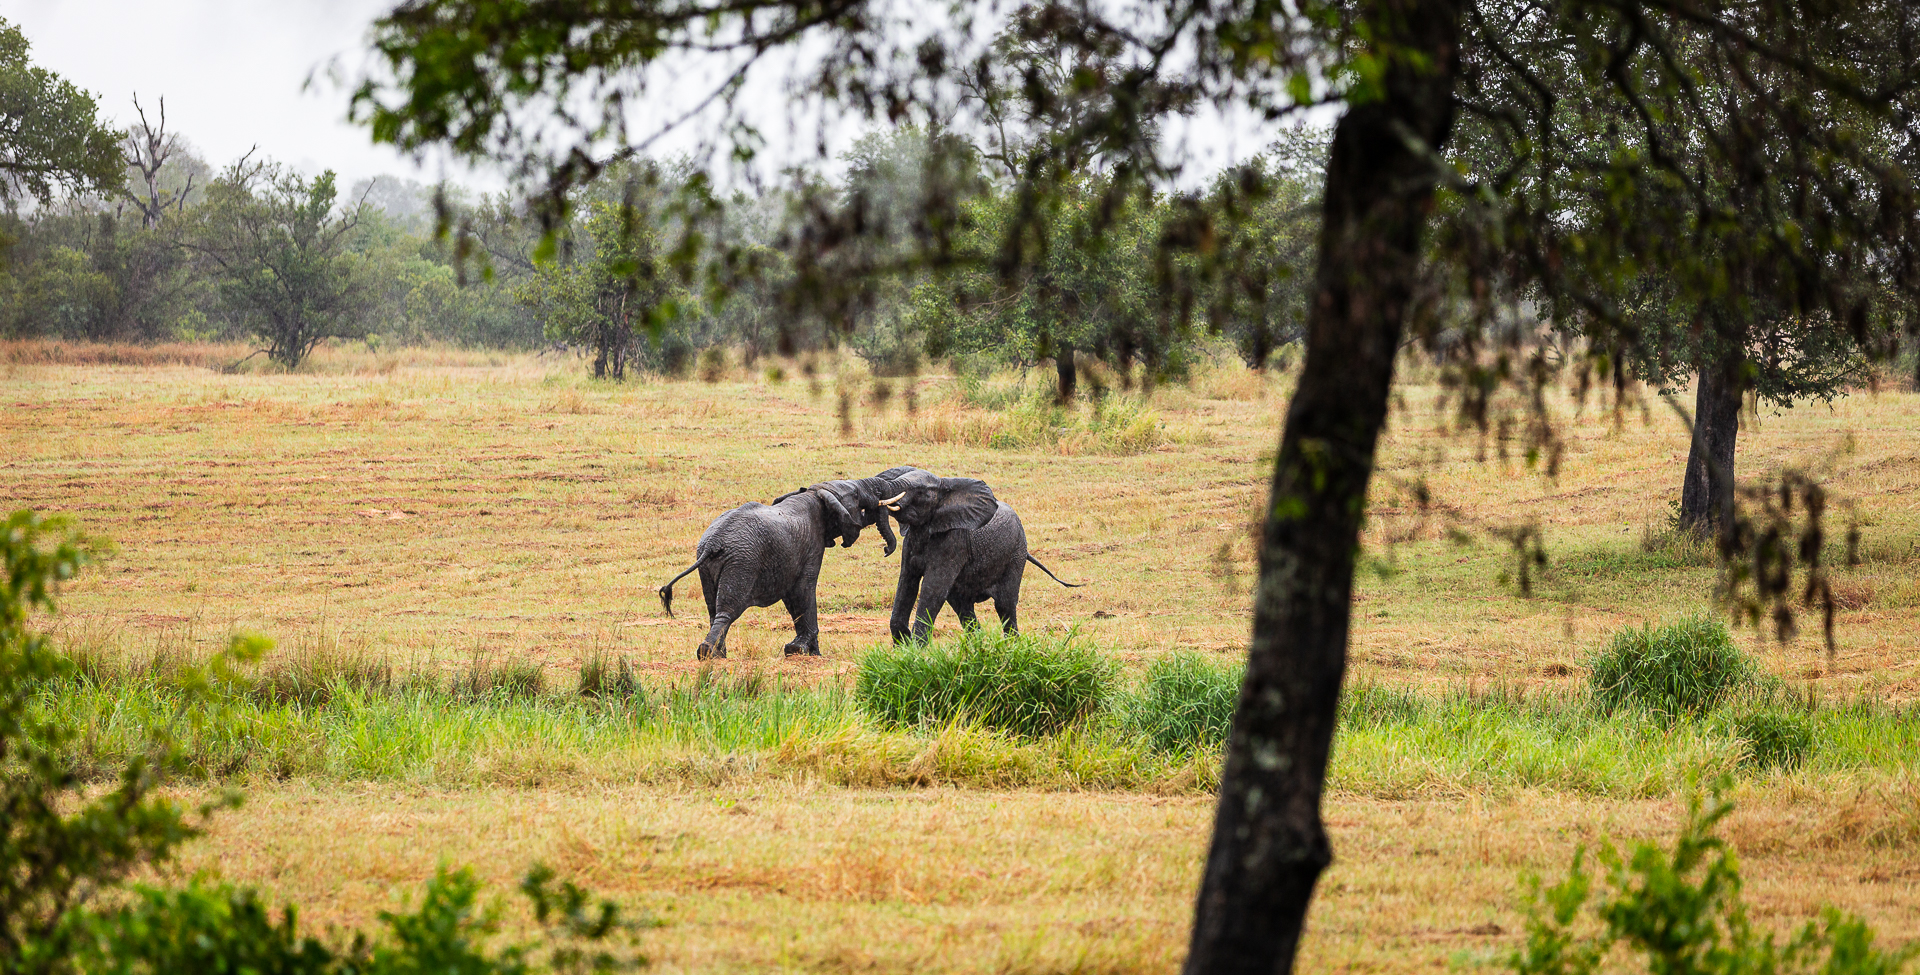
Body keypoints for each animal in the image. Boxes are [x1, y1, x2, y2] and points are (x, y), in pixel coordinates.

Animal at [656, 477, 903, 659]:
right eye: (857, 496)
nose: (885, 550)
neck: (816, 494)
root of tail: (713, 544)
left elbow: (793, 598)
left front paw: (803, 650)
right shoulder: (811, 547)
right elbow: (803, 591)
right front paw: (806, 652)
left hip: (708, 566)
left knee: (713, 609)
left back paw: (717, 654)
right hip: (742, 563)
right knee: (728, 609)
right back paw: (709, 654)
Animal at [872, 467, 1084, 641]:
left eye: (921, 492)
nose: (885, 550)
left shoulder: (954, 542)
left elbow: (933, 589)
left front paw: (916, 653)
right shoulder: (912, 543)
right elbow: (906, 583)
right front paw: (904, 648)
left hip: (1016, 553)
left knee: (1005, 605)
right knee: (963, 608)